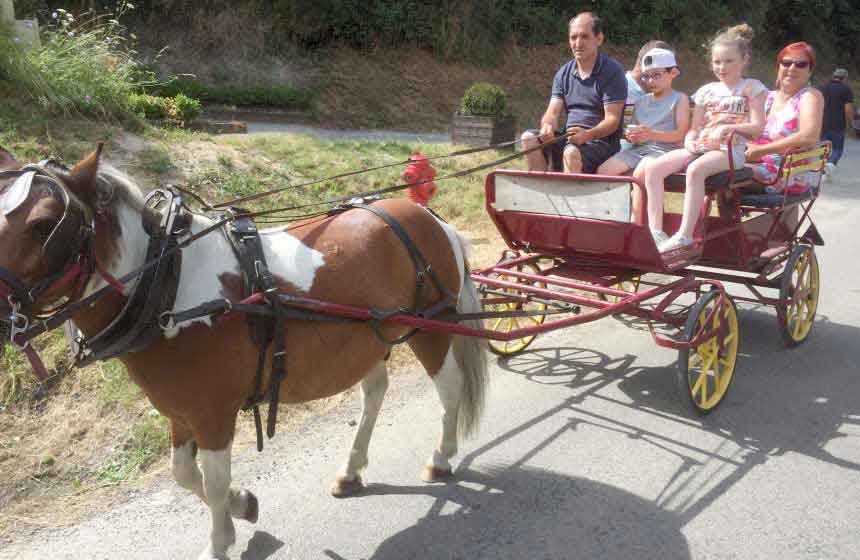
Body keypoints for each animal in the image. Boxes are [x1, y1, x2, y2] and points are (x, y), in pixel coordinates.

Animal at [0, 147, 488, 556]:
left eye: (44, 225)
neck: (165, 285)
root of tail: (429, 216)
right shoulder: (181, 412)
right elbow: (183, 474)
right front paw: (242, 505)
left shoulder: (213, 414)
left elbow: (214, 482)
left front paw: (220, 541)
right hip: (371, 337)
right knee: (375, 391)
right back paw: (351, 469)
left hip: (429, 330)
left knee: (449, 388)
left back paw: (441, 457)